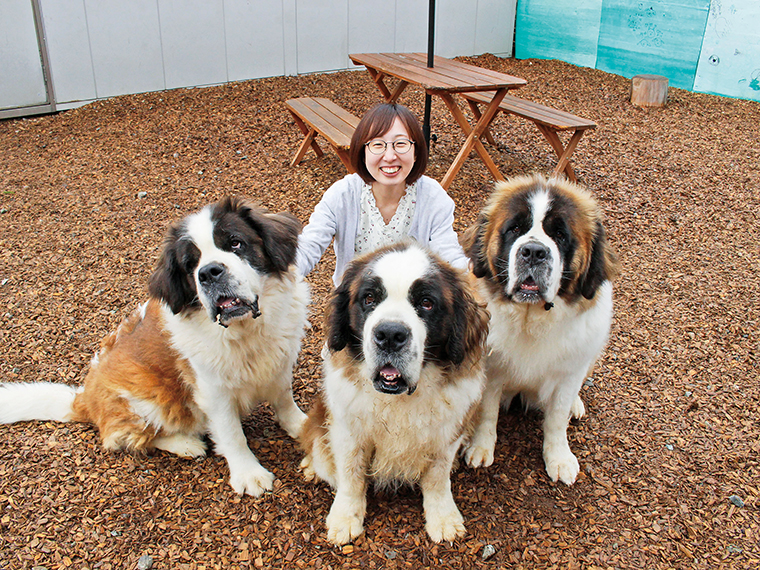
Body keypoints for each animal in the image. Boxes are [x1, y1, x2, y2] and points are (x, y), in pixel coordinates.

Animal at [0, 197, 308, 494]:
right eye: (190, 265)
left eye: (235, 243)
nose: (209, 272)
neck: (245, 332)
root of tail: (84, 398)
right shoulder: (213, 391)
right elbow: (232, 433)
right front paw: (248, 474)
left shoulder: (280, 360)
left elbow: (284, 397)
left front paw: (302, 426)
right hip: (146, 397)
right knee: (134, 437)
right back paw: (186, 444)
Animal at [298, 242, 486, 544]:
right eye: (369, 298)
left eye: (426, 303)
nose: (389, 334)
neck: (398, 400)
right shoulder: (348, 430)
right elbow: (351, 474)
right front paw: (345, 517)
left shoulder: (447, 432)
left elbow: (437, 476)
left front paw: (443, 517)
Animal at [460, 173, 620, 484]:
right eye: (515, 229)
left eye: (560, 235)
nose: (534, 251)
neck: (531, 319)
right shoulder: (491, 369)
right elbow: (487, 412)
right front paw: (480, 447)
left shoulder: (569, 372)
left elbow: (557, 418)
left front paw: (558, 457)